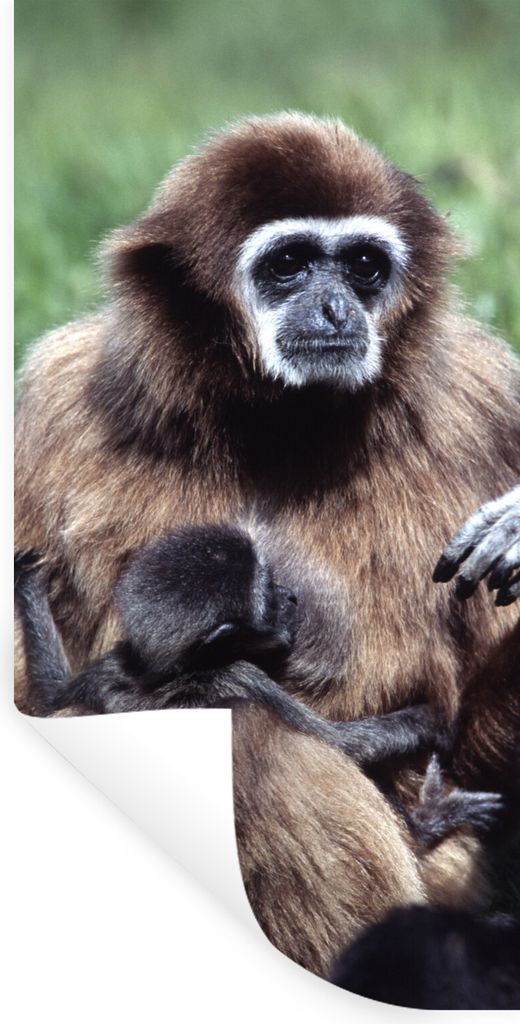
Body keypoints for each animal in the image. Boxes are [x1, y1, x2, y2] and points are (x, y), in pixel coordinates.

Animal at [15, 113, 520, 976]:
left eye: (363, 265)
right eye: (288, 265)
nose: (336, 308)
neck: (275, 429)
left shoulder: (489, 403)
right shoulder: (52, 404)